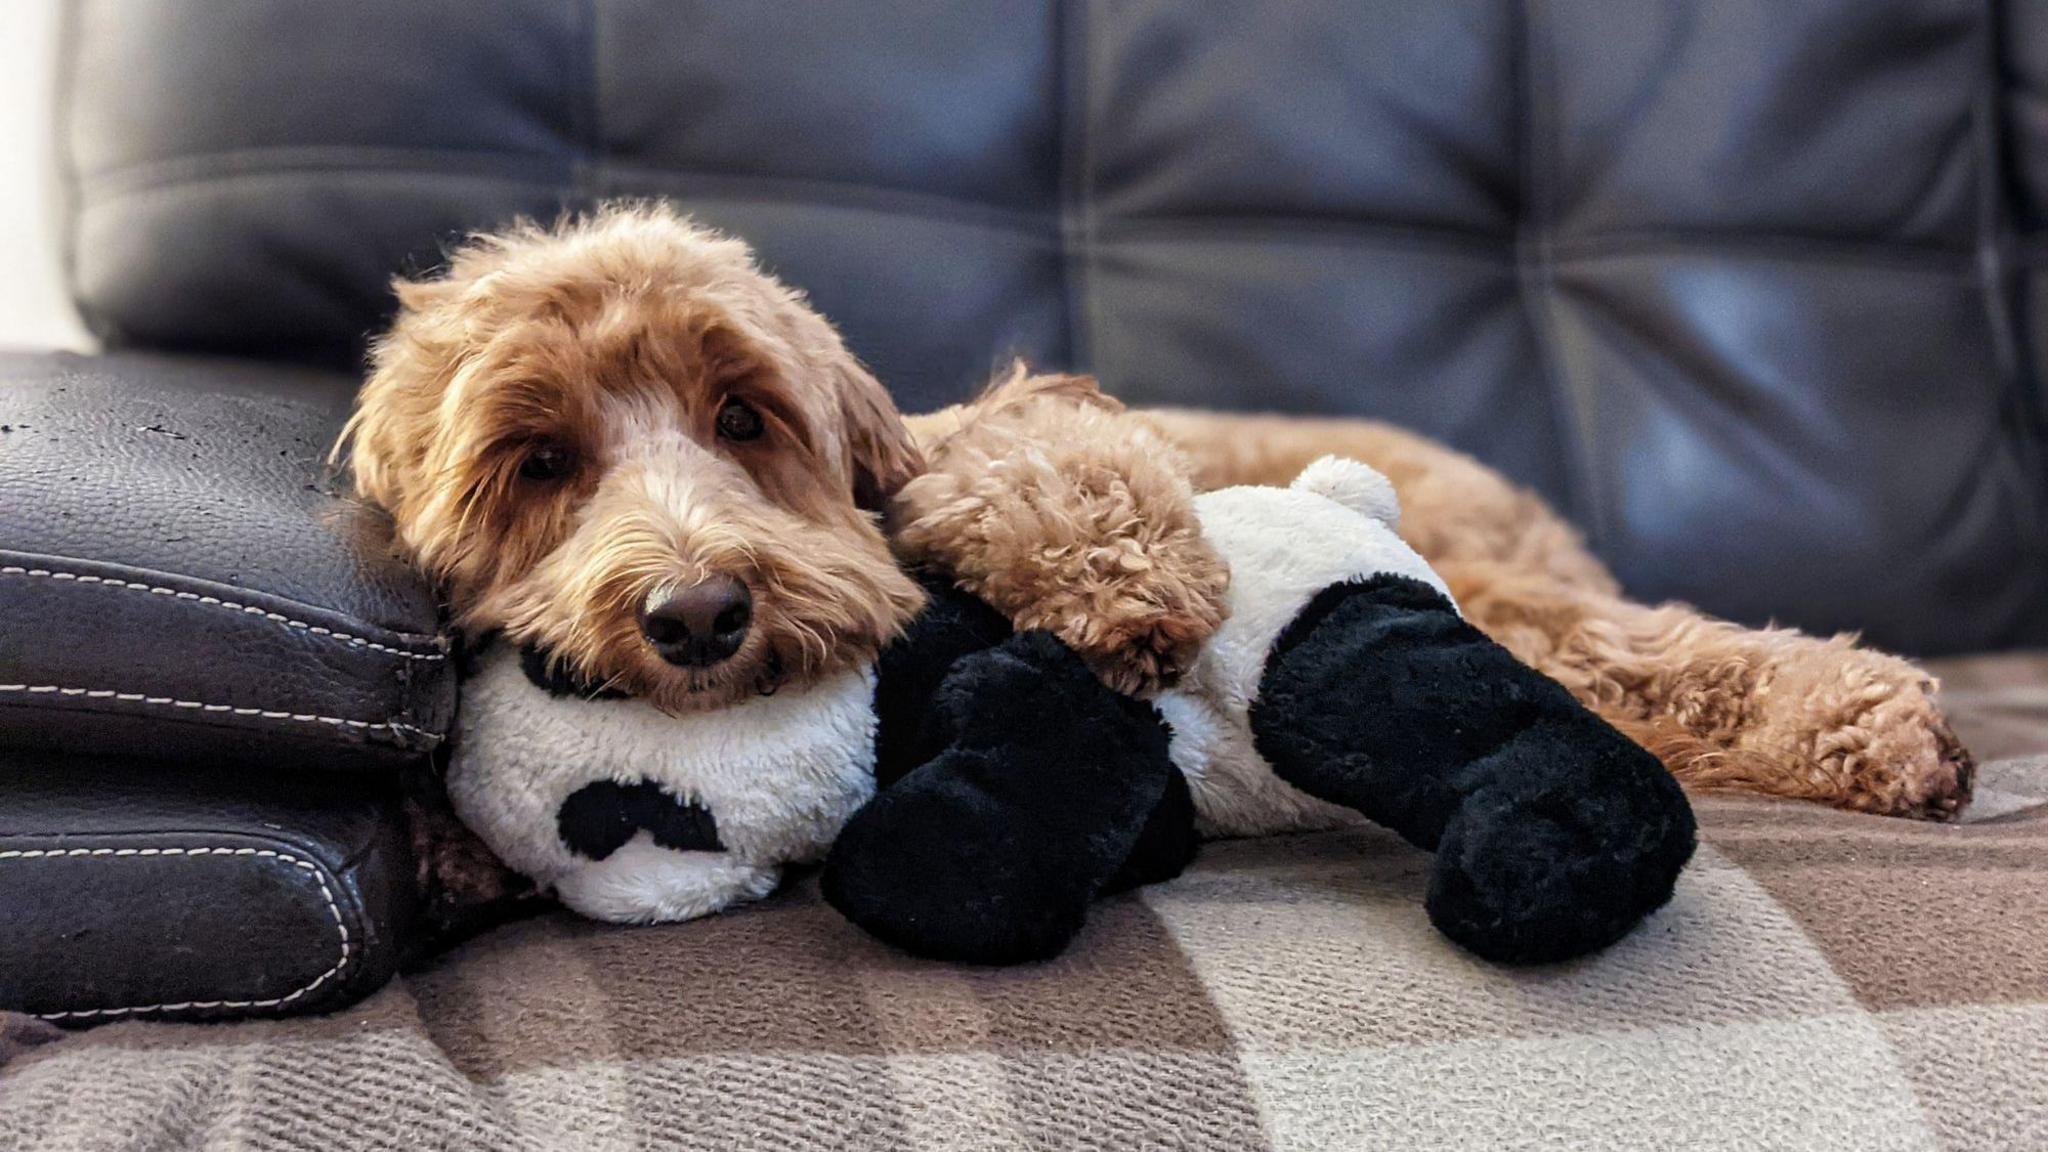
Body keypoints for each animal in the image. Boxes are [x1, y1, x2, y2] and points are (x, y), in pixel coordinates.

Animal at [344, 201, 1974, 819]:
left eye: (744, 416)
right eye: (537, 464)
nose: (697, 611)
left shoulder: (1009, 424)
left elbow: (1036, 451)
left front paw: (1127, 593)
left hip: (1497, 566)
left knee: (1633, 647)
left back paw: (1875, 724)